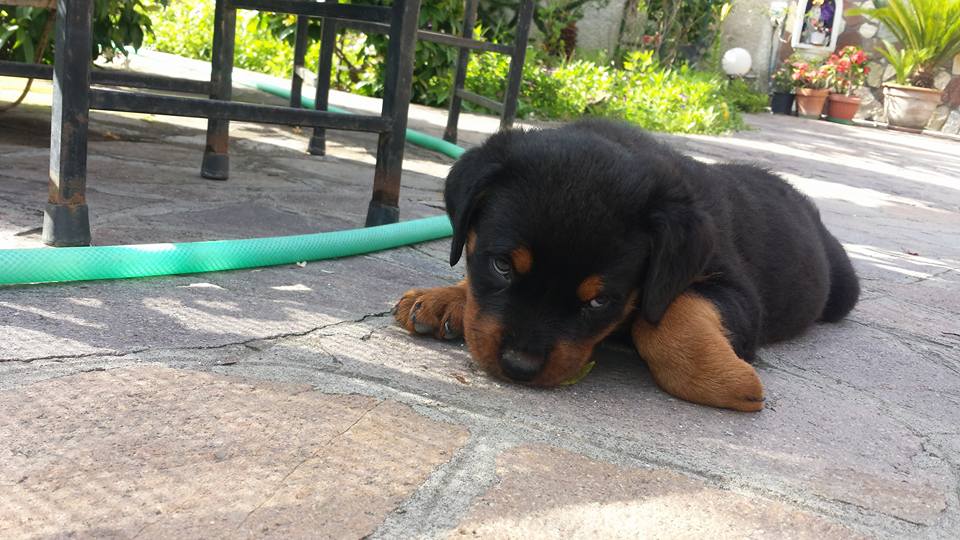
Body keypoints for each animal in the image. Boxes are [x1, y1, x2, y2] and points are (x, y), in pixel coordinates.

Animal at [394, 118, 860, 412]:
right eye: (503, 266)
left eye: (599, 301)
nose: (518, 367)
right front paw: (442, 299)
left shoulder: (738, 293)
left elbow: (665, 317)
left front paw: (726, 381)